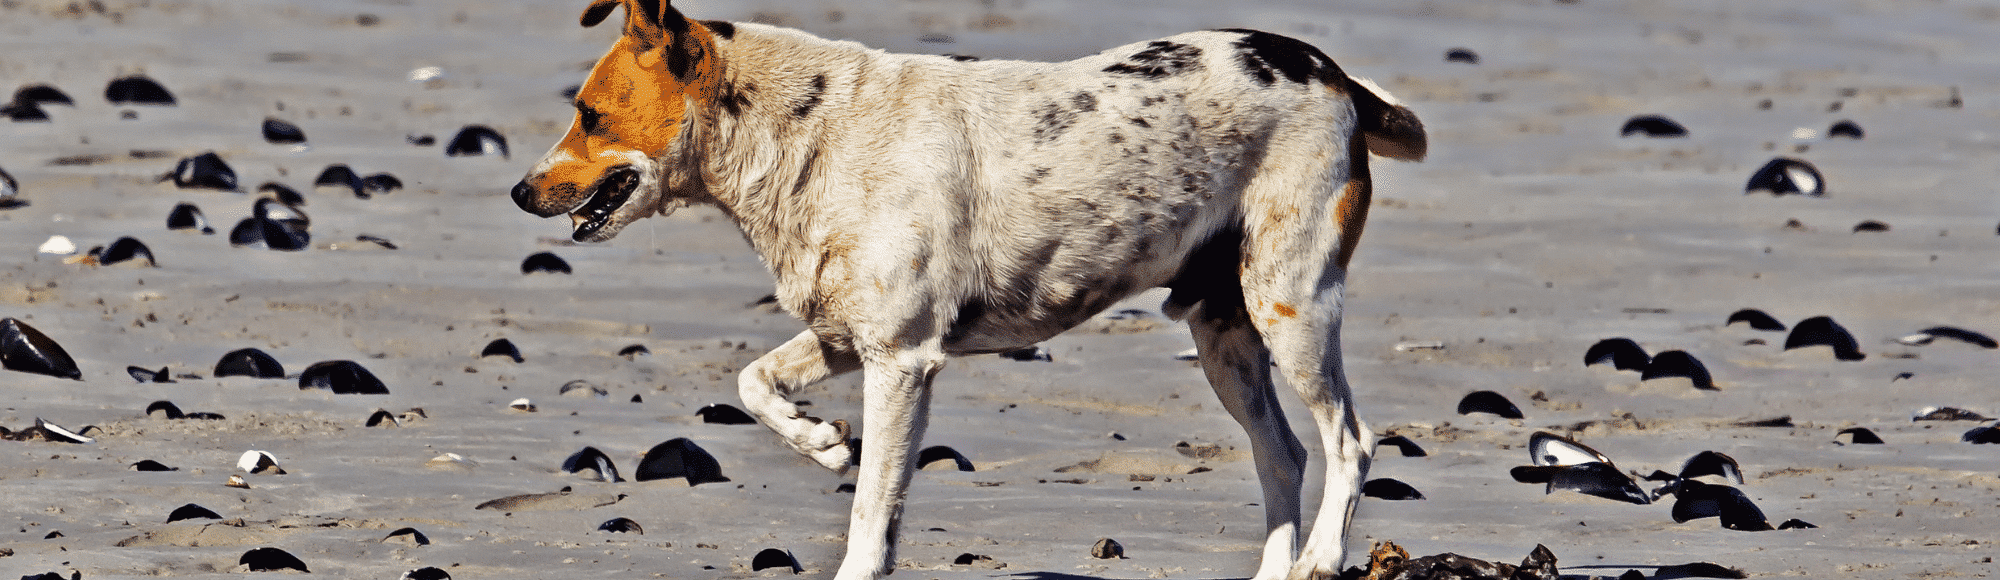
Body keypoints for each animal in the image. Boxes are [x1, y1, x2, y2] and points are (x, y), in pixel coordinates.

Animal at [508, 1, 1432, 580]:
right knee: (1283, 454)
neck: (811, 136)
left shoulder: (901, 361)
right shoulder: (847, 336)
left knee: (1351, 440)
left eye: (589, 115)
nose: (519, 193)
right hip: (1224, 335)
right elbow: (753, 382)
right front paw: (821, 442)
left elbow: (870, 511)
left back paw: (1323, 558)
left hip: (1291, 304)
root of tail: (1333, 75)